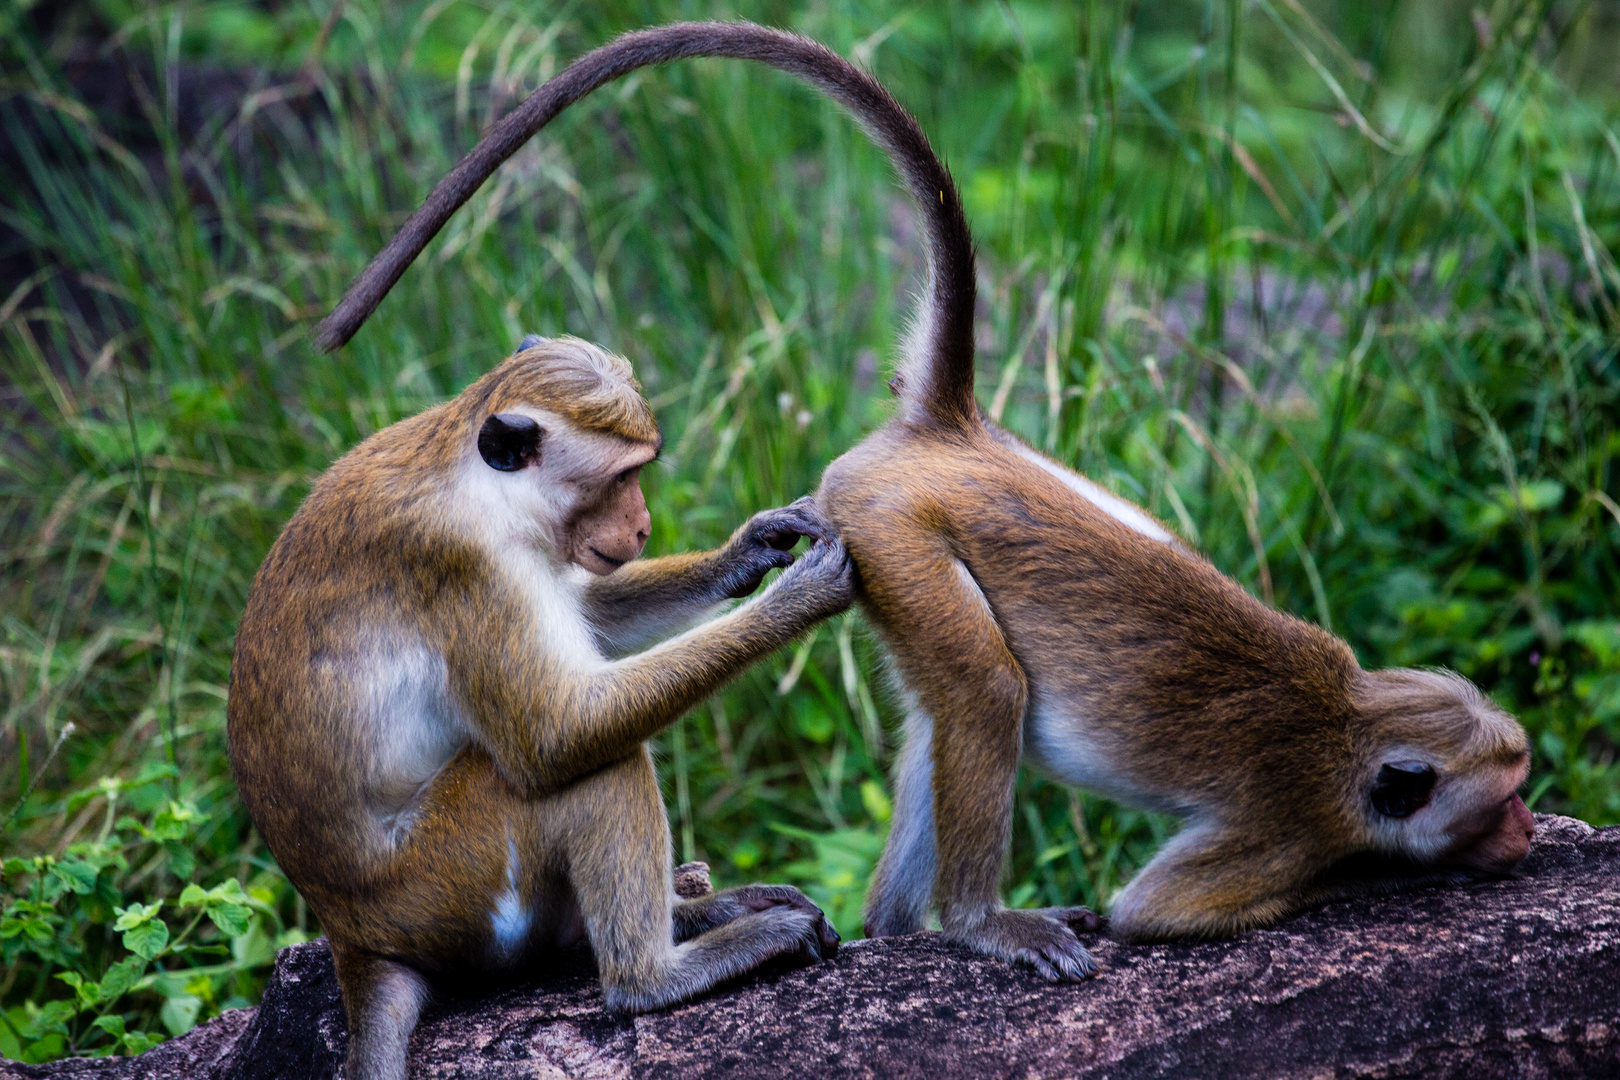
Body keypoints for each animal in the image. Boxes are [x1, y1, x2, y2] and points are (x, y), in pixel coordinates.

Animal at [309, 21, 1535, 990]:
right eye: (1500, 799)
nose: (1526, 835)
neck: (1351, 721)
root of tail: (948, 435)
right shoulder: (1287, 826)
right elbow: (1164, 910)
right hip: (895, 535)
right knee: (986, 691)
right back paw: (976, 924)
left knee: (945, 715)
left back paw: (901, 928)